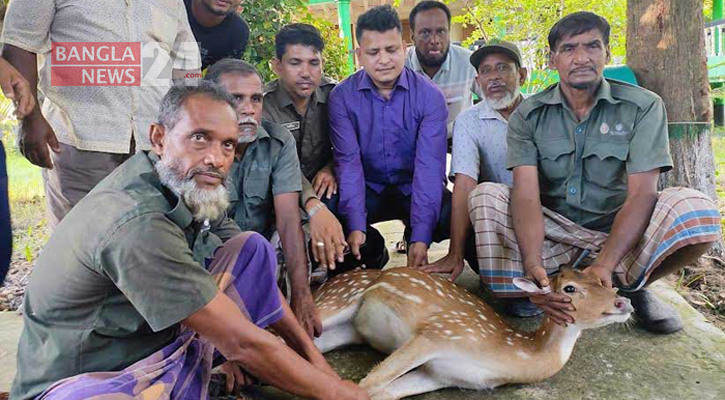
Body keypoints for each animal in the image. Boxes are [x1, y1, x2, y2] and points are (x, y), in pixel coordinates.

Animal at [314, 266, 632, 400]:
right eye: (570, 288)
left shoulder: (441, 375)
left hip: (349, 330)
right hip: (336, 300)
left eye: (603, 281)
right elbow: (367, 384)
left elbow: (383, 392)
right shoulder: (440, 332)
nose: (623, 302)